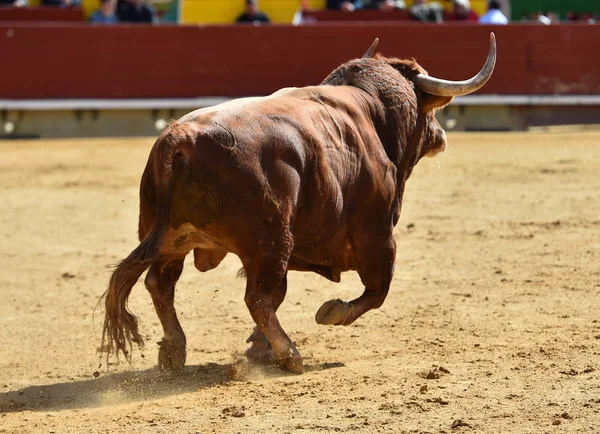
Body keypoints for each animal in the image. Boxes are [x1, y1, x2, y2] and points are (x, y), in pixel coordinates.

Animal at [102, 33, 496, 372]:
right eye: (430, 111)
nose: (441, 135)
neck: (371, 111)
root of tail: (182, 136)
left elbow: (283, 294)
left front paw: (256, 346)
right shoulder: (378, 235)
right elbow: (377, 290)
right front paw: (331, 312)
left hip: (173, 239)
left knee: (161, 284)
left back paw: (174, 351)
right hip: (271, 241)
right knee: (255, 298)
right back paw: (290, 354)